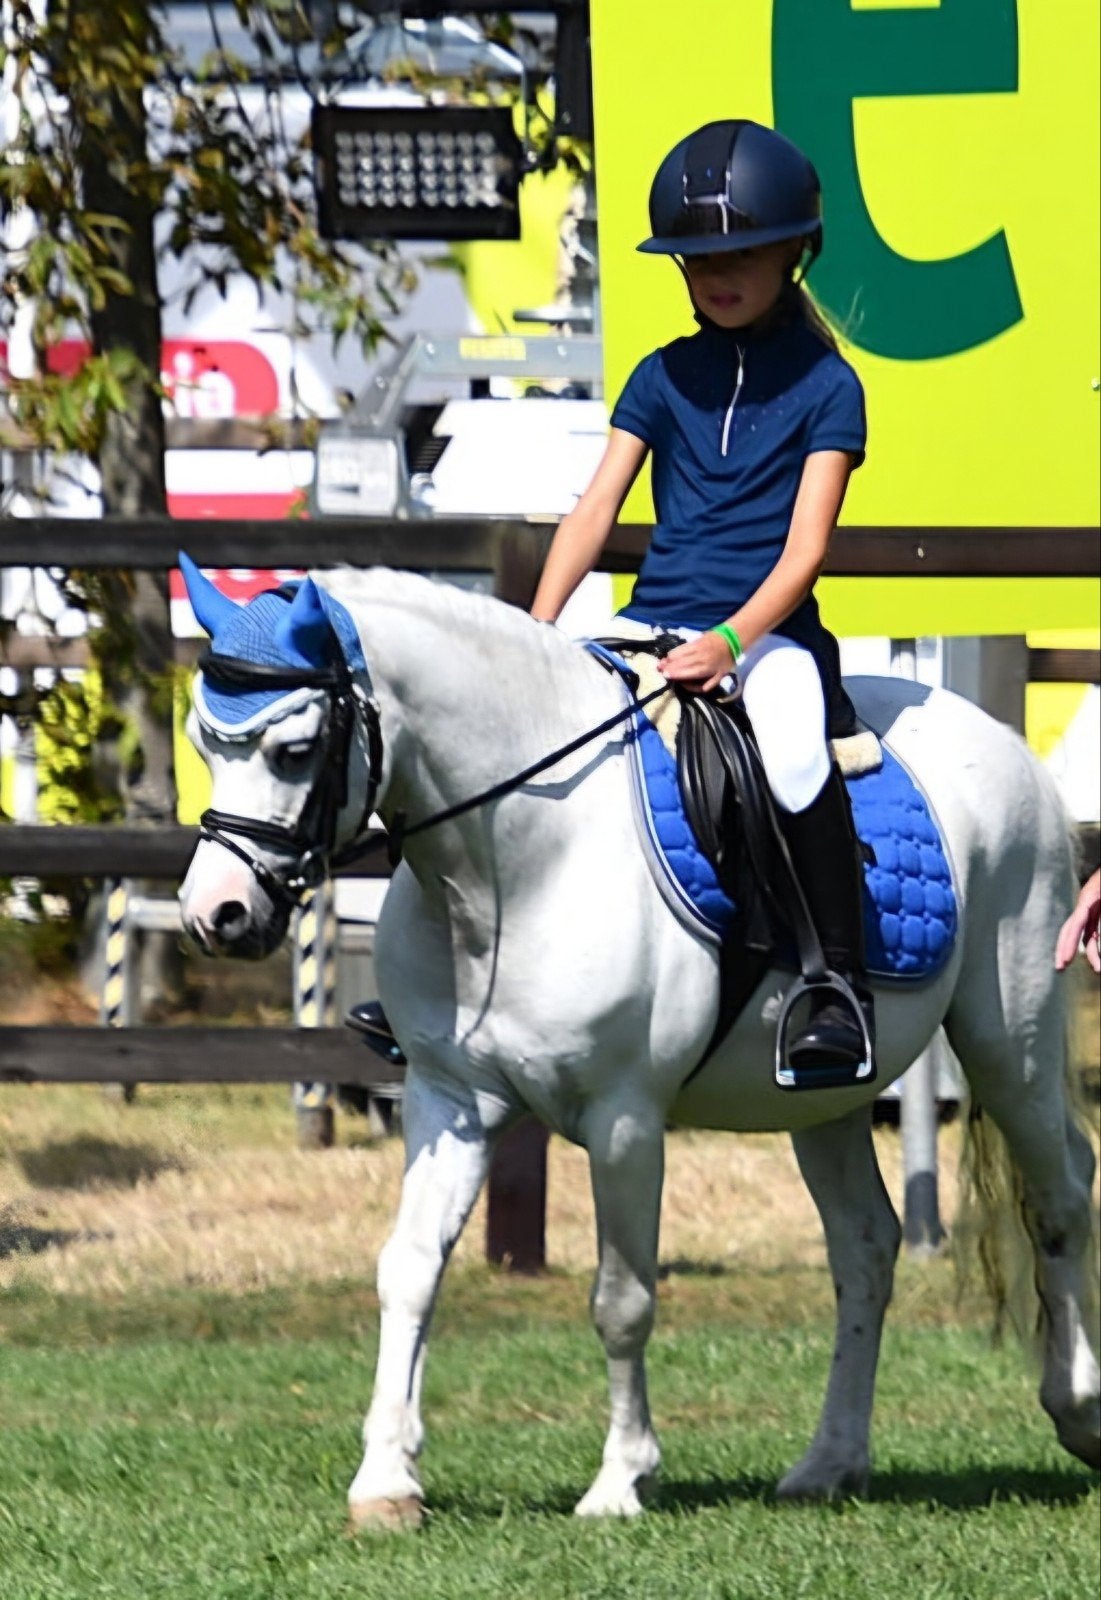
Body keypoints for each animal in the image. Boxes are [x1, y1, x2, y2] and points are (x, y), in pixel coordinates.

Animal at [177, 559, 1100, 1529]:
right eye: (206, 744)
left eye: (292, 750)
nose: (217, 915)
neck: (519, 860)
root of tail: (1005, 745)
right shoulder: (449, 1101)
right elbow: (410, 1269)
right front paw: (387, 1483)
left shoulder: (624, 1120)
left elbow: (621, 1298)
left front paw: (621, 1480)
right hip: (829, 1096)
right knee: (864, 1246)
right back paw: (829, 1463)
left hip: (1009, 1039)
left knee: (1059, 1198)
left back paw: (1077, 1413)